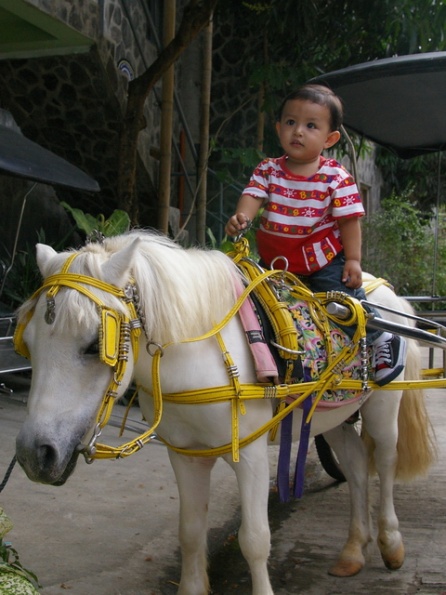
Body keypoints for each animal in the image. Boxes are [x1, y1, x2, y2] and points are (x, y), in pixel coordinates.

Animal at [14, 230, 435, 595]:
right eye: (28, 344)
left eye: (93, 345)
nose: (34, 455)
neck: (197, 354)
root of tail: (386, 293)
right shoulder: (187, 455)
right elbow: (190, 532)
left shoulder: (250, 454)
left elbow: (255, 539)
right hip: (328, 414)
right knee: (356, 464)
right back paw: (352, 552)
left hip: (383, 407)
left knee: (385, 461)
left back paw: (391, 543)